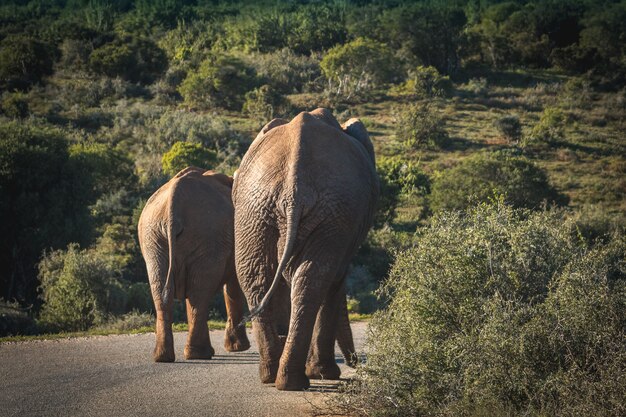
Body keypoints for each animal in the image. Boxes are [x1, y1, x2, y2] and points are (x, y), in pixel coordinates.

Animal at [138, 166, 249, 360]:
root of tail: (174, 204)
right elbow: (233, 286)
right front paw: (239, 348)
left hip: (154, 238)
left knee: (167, 291)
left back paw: (165, 357)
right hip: (202, 236)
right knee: (199, 293)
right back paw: (198, 354)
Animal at [230, 108, 372, 390]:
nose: (355, 363)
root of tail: (294, 189)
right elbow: (335, 282)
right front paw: (324, 374)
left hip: (257, 210)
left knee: (257, 277)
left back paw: (275, 377)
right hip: (321, 211)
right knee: (314, 279)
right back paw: (299, 378)